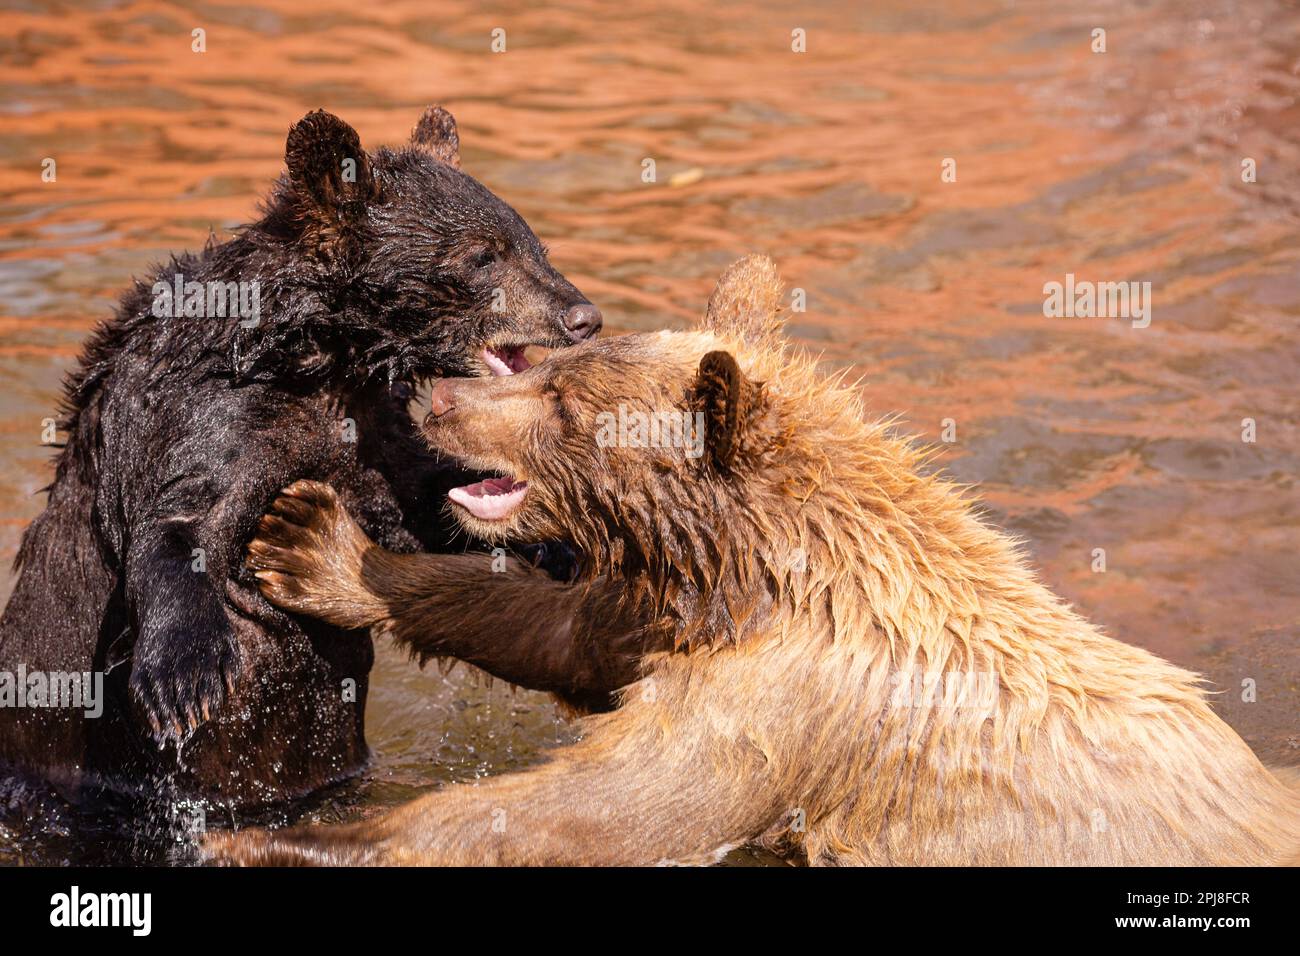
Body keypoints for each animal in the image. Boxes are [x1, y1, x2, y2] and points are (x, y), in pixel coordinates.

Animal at [0, 106, 598, 816]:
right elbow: (178, 520)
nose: (582, 315)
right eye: (483, 255)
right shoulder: (210, 412)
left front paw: (552, 540)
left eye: (534, 245)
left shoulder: (367, 432)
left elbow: (423, 502)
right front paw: (185, 677)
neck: (321, 358)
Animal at [202, 256, 1300, 868]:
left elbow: (603, 810)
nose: (433, 391)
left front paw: (273, 836)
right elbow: (567, 632)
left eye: (564, 400)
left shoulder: (789, 707)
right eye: (558, 362)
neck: (766, 567)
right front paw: (313, 545)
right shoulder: (690, 611)